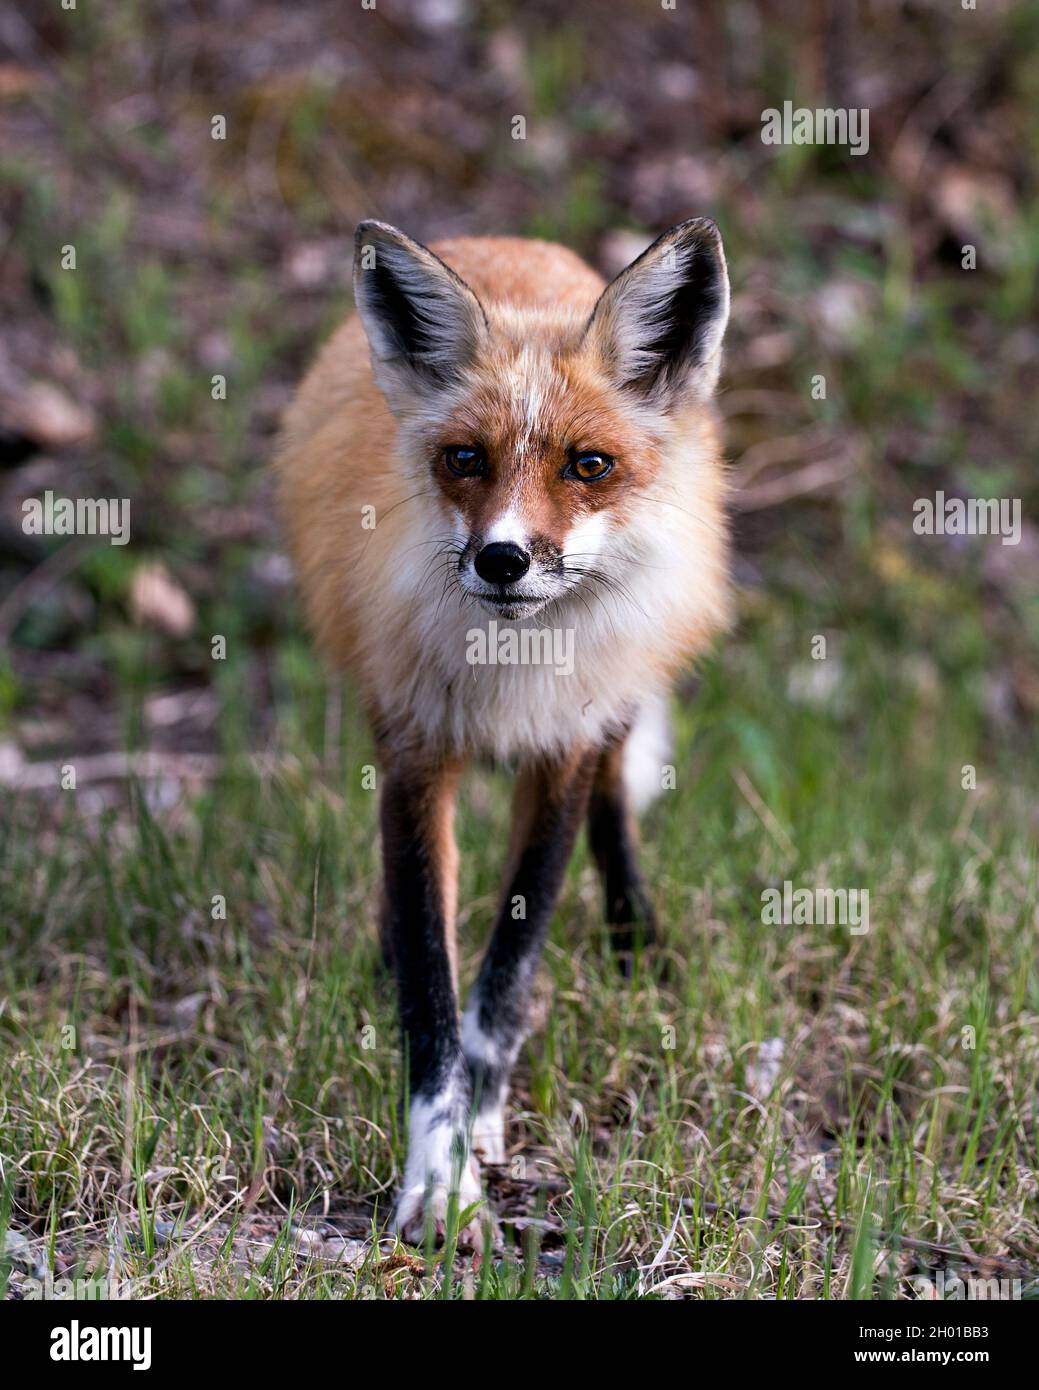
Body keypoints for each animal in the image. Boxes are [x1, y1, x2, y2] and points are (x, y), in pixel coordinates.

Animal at [275, 217, 731, 1244]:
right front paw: (438, 1184)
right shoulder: (413, 753)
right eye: (463, 459)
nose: (501, 559)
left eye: (587, 465)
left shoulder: (562, 753)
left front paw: (480, 1130)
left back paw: (634, 934)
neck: (507, 674)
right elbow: (431, 991)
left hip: (617, 699)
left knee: (615, 805)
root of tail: (511, 240)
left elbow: (504, 979)